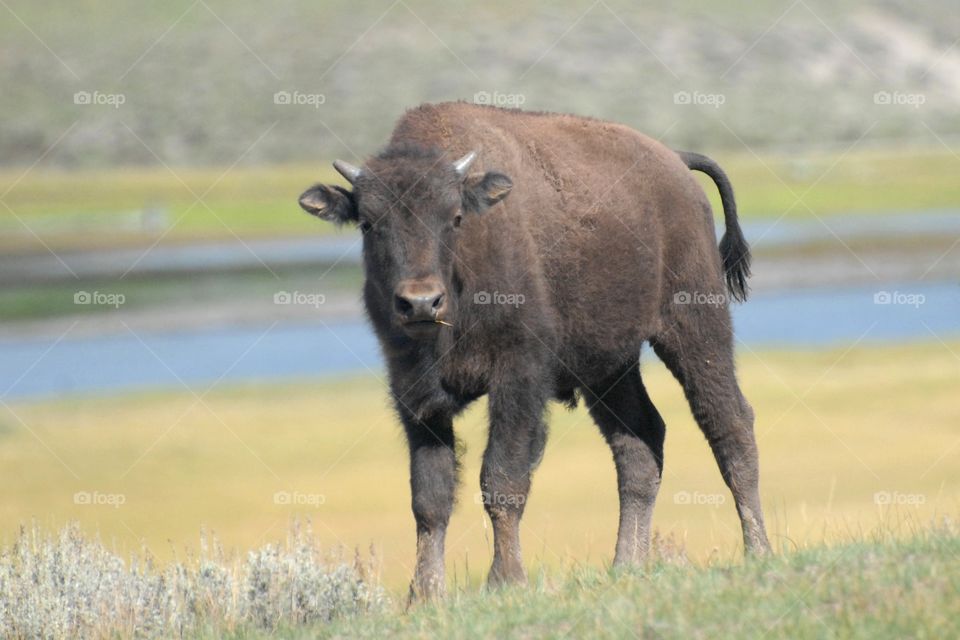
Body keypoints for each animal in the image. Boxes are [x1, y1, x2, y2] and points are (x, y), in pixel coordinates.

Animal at [298, 101, 771, 600]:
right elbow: (429, 496)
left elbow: (501, 479)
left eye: (455, 218)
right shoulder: (413, 393)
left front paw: (506, 580)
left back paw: (758, 550)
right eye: (369, 223)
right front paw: (424, 595)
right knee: (639, 443)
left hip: (695, 324)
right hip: (610, 367)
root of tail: (677, 163)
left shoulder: (518, 377)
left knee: (729, 422)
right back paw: (626, 564)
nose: (421, 302)